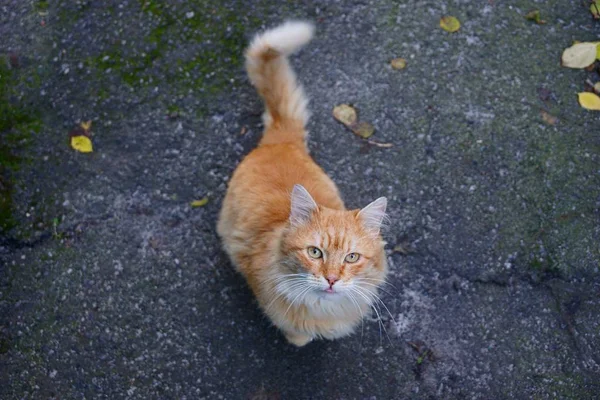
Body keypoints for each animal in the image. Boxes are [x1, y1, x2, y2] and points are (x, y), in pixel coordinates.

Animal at [217, 21, 390, 346]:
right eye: (315, 252)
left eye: (351, 257)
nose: (332, 279)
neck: (325, 309)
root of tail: (281, 139)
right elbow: (296, 333)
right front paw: (299, 339)